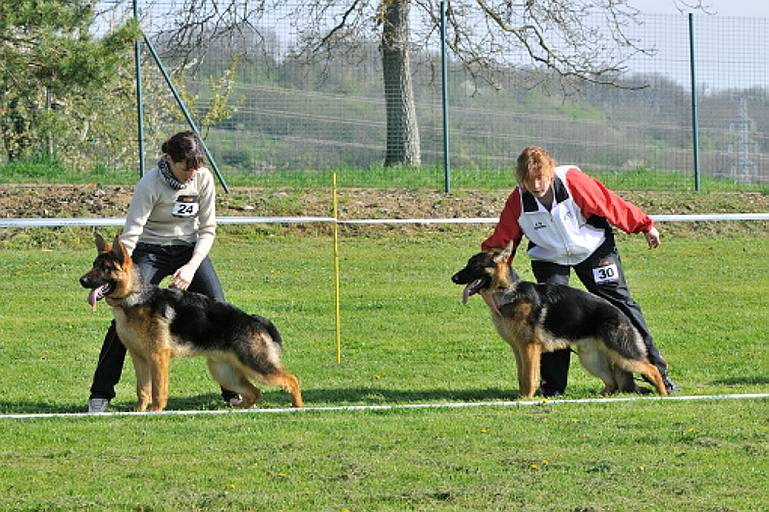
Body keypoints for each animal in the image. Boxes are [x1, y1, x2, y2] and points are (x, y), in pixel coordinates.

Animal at [79, 233, 304, 411]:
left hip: (256, 365)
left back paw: (299, 408)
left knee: (292, 380)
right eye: (94, 265)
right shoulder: (140, 359)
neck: (135, 298)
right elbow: (143, 390)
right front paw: (139, 412)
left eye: (105, 268)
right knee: (255, 392)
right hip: (224, 372)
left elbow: (158, 390)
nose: (82, 281)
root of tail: (254, 319)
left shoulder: (158, 358)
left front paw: (155, 412)